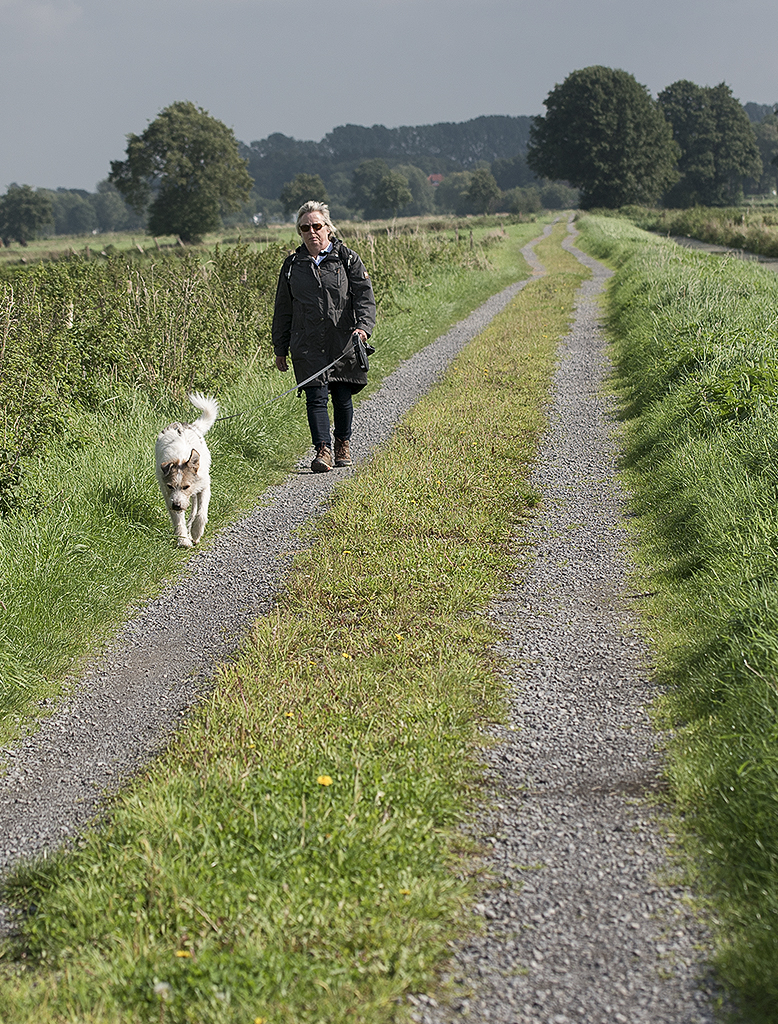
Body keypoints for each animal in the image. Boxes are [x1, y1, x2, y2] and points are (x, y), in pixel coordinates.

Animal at [154, 391, 217, 548]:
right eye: (170, 486)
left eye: (186, 486)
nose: (177, 505)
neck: (181, 458)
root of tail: (183, 425)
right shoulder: (168, 494)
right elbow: (177, 520)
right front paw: (183, 539)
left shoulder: (204, 486)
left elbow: (201, 513)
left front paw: (196, 532)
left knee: (195, 507)